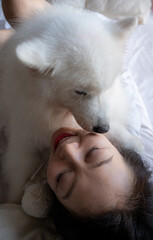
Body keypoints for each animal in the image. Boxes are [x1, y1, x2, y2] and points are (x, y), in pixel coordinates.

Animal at [0, 4, 139, 202]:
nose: (103, 128)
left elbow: (120, 133)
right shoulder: (23, 140)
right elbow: (17, 181)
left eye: (107, 86)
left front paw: (135, 143)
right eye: (80, 92)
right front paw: (11, 202)